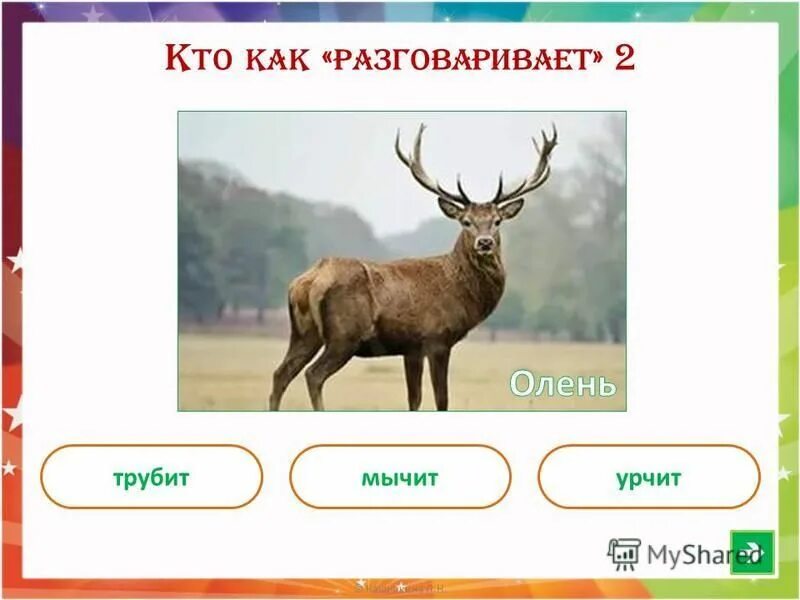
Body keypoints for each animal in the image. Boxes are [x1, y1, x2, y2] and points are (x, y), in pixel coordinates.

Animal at [268, 123, 557, 411]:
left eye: (497, 221)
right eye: (466, 221)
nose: (484, 242)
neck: (460, 291)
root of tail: (308, 281)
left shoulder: (411, 348)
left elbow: (414, 400)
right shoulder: (437, 338)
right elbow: (441, 400)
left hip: (304, 333)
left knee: (281, 373)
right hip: (344, 335)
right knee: (313, 374)